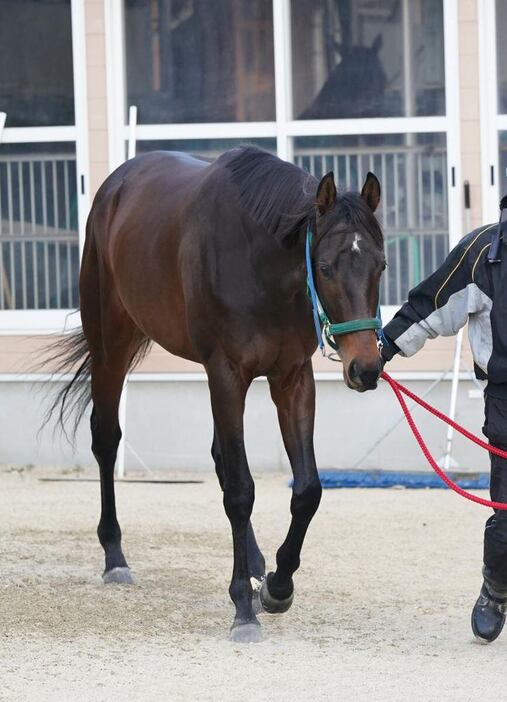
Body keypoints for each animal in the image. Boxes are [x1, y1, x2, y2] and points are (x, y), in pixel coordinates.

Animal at [50, 147, 384, 644]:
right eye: (325, 268)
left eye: (380, 265)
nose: (365, 368)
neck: (259, 261)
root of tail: (115, 186)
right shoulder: (226, 374)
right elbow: (242, 491)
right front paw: (243, 609)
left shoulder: (291, 378)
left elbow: (305, 489)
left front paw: (277, 586)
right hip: (112, 346)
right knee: (106, 439)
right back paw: (115, 557)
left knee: (221, 459)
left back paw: (258, 564)